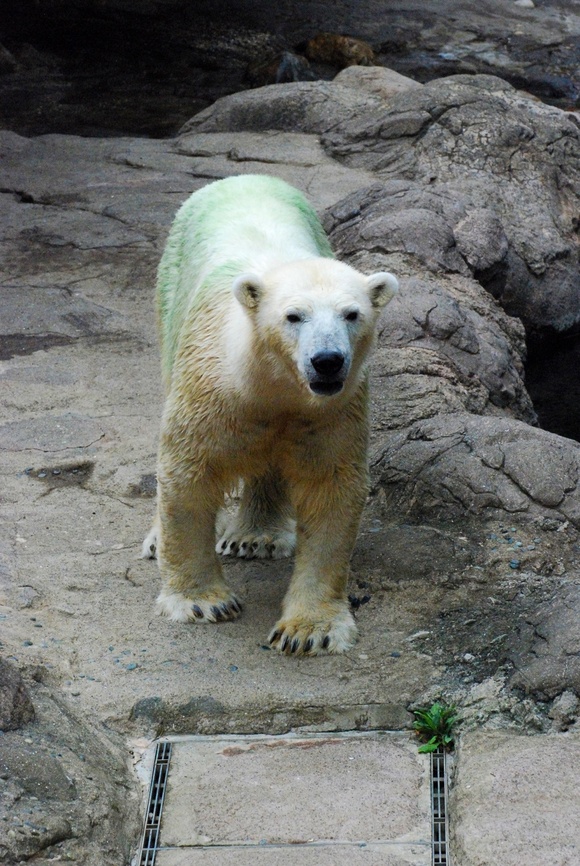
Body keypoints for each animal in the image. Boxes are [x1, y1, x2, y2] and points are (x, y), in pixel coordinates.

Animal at [144, 172, 398, 652]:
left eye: (352, 313)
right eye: (293, 316)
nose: (327, 360)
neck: (271, 385)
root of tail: (242, 177)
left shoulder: (332, 410)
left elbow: (330, 487)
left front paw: (309, 630)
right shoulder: (210, 390)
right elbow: (188, 474)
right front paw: (203, 602)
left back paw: (254, 537)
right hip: (171, 293)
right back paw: (156, 540)